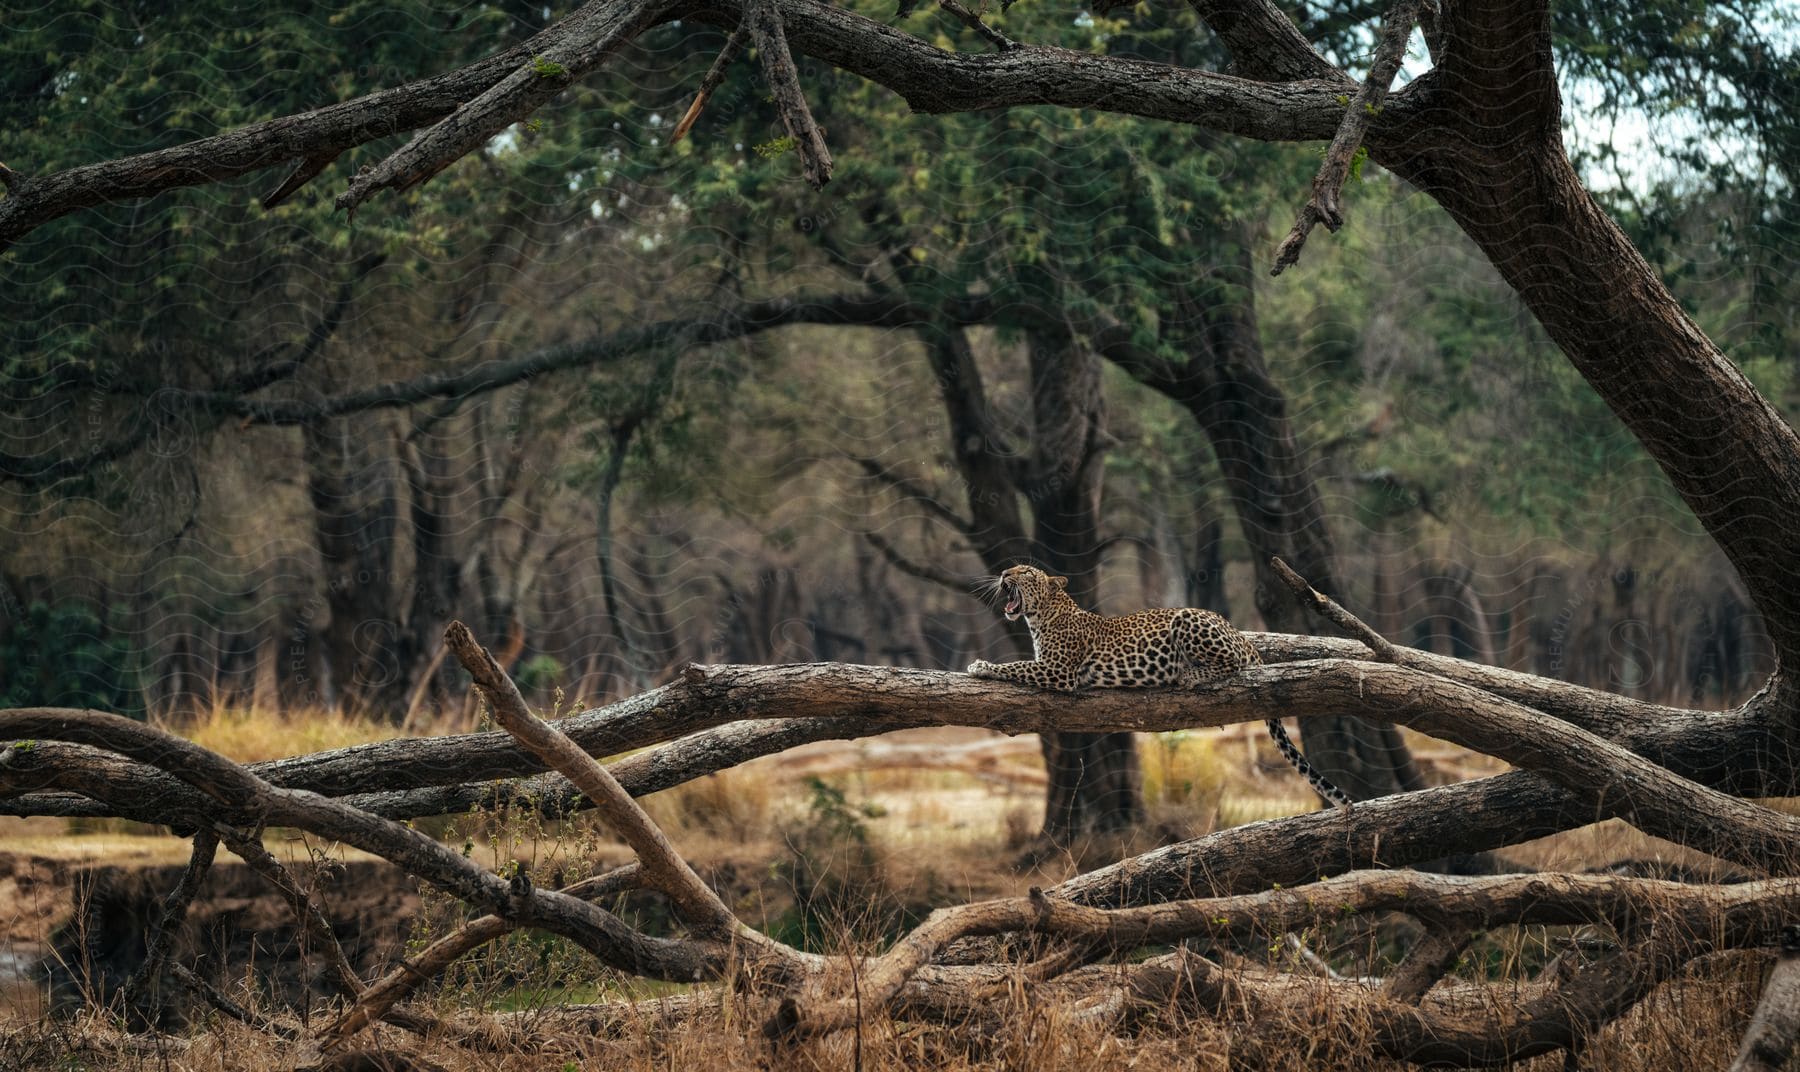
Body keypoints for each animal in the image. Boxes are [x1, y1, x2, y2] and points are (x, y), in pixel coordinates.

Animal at [972, 568, 1353, 805]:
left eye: (1026, 573)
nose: (1005, 573)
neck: (1041, 617)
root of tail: (1243, 637)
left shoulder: (1058, 670)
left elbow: (1016, 666)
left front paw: (981, 666)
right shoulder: (1051, 667)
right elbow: (1020, 664)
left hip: (1187, 619)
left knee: (1229, 664)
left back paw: (1187, 674)